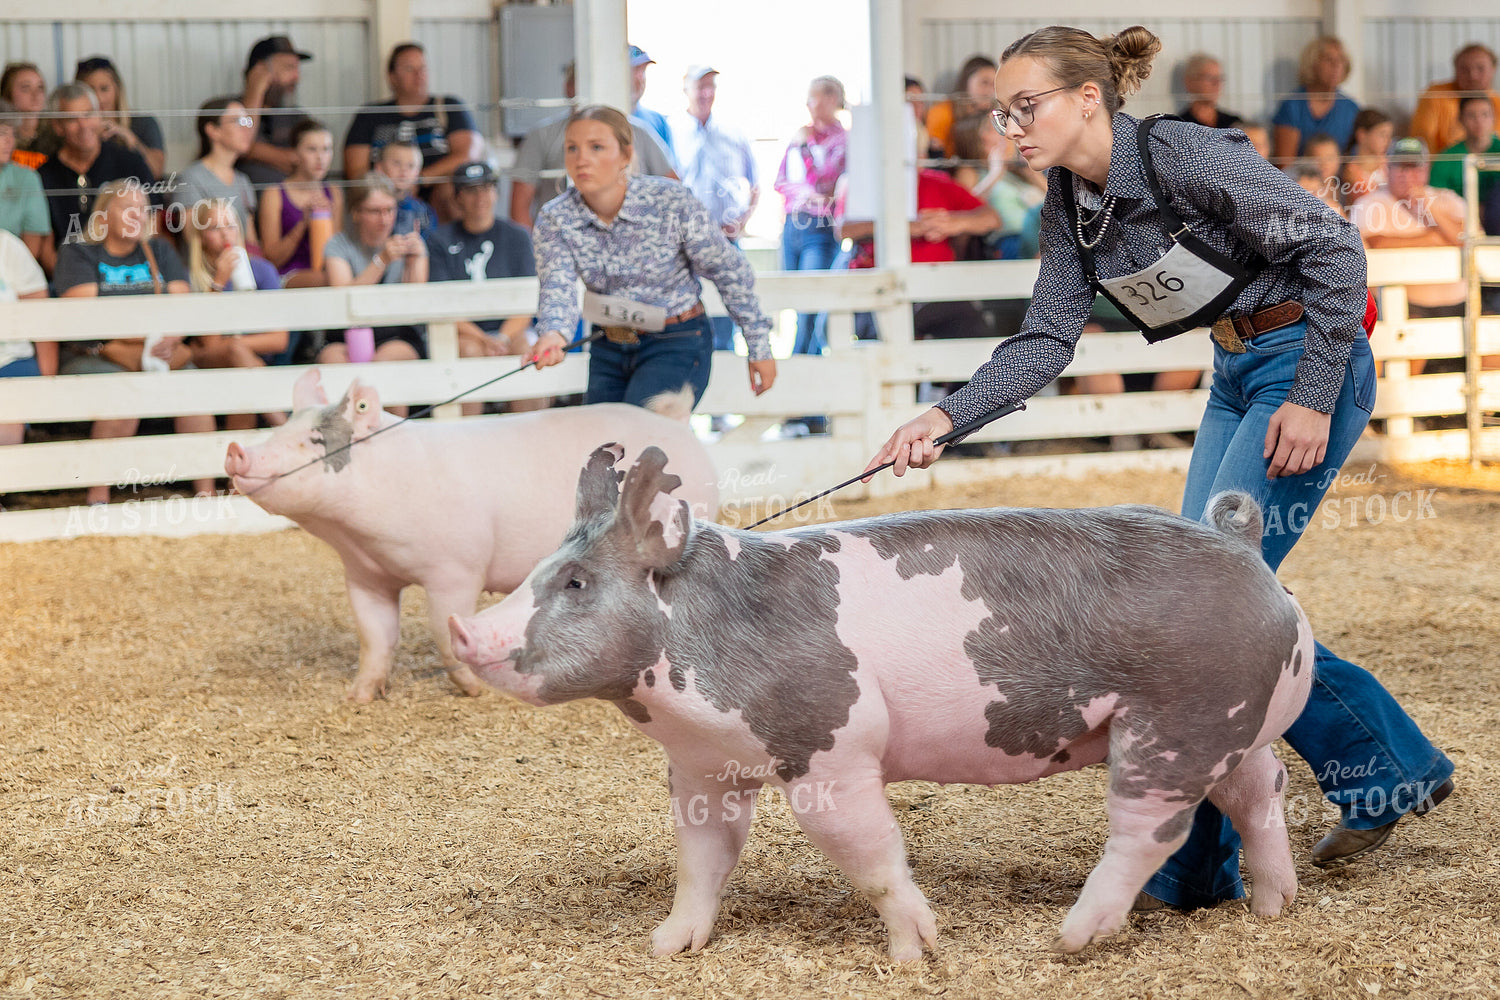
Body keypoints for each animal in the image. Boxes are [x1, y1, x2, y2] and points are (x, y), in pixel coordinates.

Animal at [224, 370, 719, 702]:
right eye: (280, 428)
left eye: (313, 439)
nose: (234, 448)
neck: (359, 535)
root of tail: (679, 425)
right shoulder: (365, 576)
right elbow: (375, 638)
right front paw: (358, 696)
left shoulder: (455, 570)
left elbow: (445, 632)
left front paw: (475, 692)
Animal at [449, 445, 1316, 959]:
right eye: (544, 569)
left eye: (575, 583)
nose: (466, 630)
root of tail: (1243, 550)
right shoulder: (701, 767)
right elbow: (702, 857)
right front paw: (668, 946)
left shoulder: (828, 746)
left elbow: (868, 854)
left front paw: (916, 951)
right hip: (1231, 723)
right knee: (1259, 790)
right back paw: (1274, 908)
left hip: (1174, 721)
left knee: (1153, 830)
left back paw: (1072, 937)